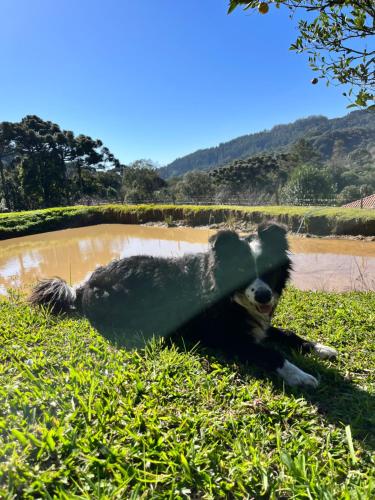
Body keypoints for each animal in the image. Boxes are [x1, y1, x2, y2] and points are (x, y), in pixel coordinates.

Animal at [29, 221, 338, 388]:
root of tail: (84, 285)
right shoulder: (230, 339)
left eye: (269, 270)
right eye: (241, 271)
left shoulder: (256, 322)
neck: (228, 295)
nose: (263, 296)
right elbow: (272, 354)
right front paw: (301, 376)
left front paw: (319, 347)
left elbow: (286, 333)